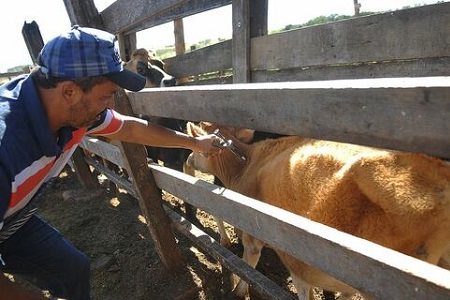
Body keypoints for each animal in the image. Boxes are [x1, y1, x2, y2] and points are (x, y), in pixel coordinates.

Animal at [187, 122, 450, 300]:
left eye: (198, 149)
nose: (188, 160)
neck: (245, 164)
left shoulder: (255, 234)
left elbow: (249, 264)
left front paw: (238, 290)